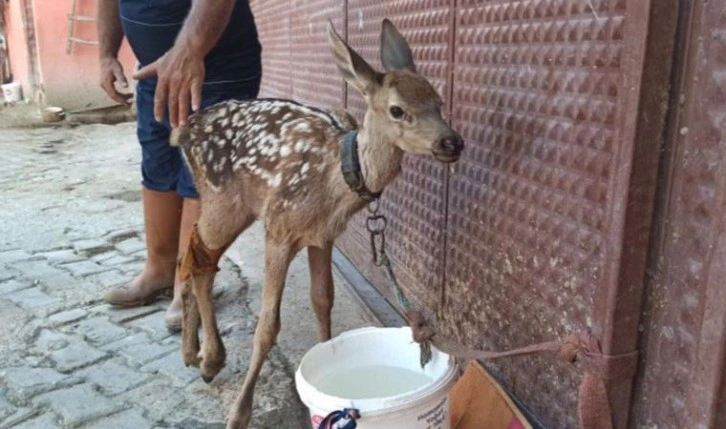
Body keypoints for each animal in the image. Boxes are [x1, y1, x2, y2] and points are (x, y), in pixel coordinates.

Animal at [171, 18, 466, 426]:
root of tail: (183, 128)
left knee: (196, 255)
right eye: (397, 110)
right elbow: (267, 326)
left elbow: (323, 299)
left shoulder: (323, 236)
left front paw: (326, 355)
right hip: (223, 201)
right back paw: (208, 358)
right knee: (198, 258)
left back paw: (195, 353)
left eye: (437, 101)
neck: (335, 178)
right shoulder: (278, 228)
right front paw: (239, 414)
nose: (452, 143)